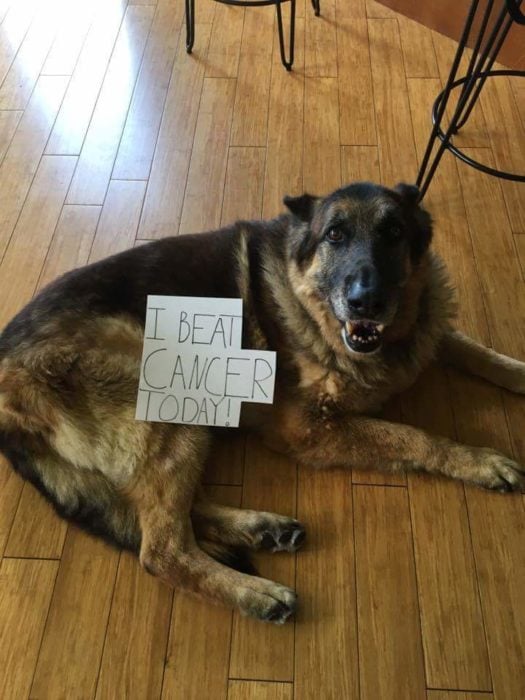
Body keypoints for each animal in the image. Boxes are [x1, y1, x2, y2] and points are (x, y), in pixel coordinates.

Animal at [1, 182, 524, 624]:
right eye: (334, 235)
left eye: (392, 232)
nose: (366, 301)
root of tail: (7, 385)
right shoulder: (312, 428)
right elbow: (413, 436)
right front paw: (478, 460)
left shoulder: (427, 334)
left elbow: (473, 349)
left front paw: (516, 371)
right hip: (174, 402)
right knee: (162, 550)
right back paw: (256, 594)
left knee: (170, 511)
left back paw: (261, 528)